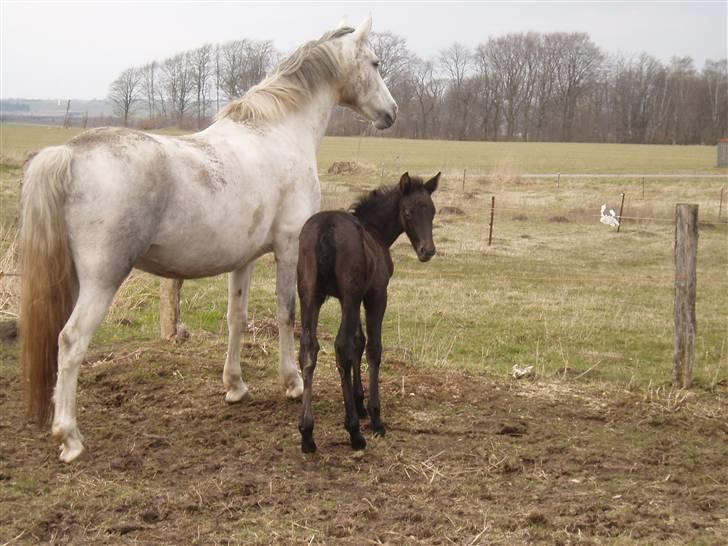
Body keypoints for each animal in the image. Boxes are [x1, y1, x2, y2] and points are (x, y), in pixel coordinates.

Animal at [18, 15, 392, 460]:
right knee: (71, 341)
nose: (391, 112)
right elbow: (287, 315)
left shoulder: (244, 259)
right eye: (374, 62)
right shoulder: (288, 250)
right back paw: (69, 437)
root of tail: (71, 154)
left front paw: (235, 386)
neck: (278, 132)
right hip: (102, 280)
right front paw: (291, 382)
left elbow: (237, 318)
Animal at [294, 170, 438, 450]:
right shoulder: (375, 295)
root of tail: (326, 228)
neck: (374, 231)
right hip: (348, 297)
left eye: (433, 211)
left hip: (310, 296)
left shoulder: (350, 298)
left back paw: (307, 433)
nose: (427, 251)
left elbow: (358, 341)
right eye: (408, 212)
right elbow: (372, 348)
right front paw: (374, 416)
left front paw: (359, 404)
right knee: (341, 347)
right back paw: (354, 433)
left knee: (309, 348)